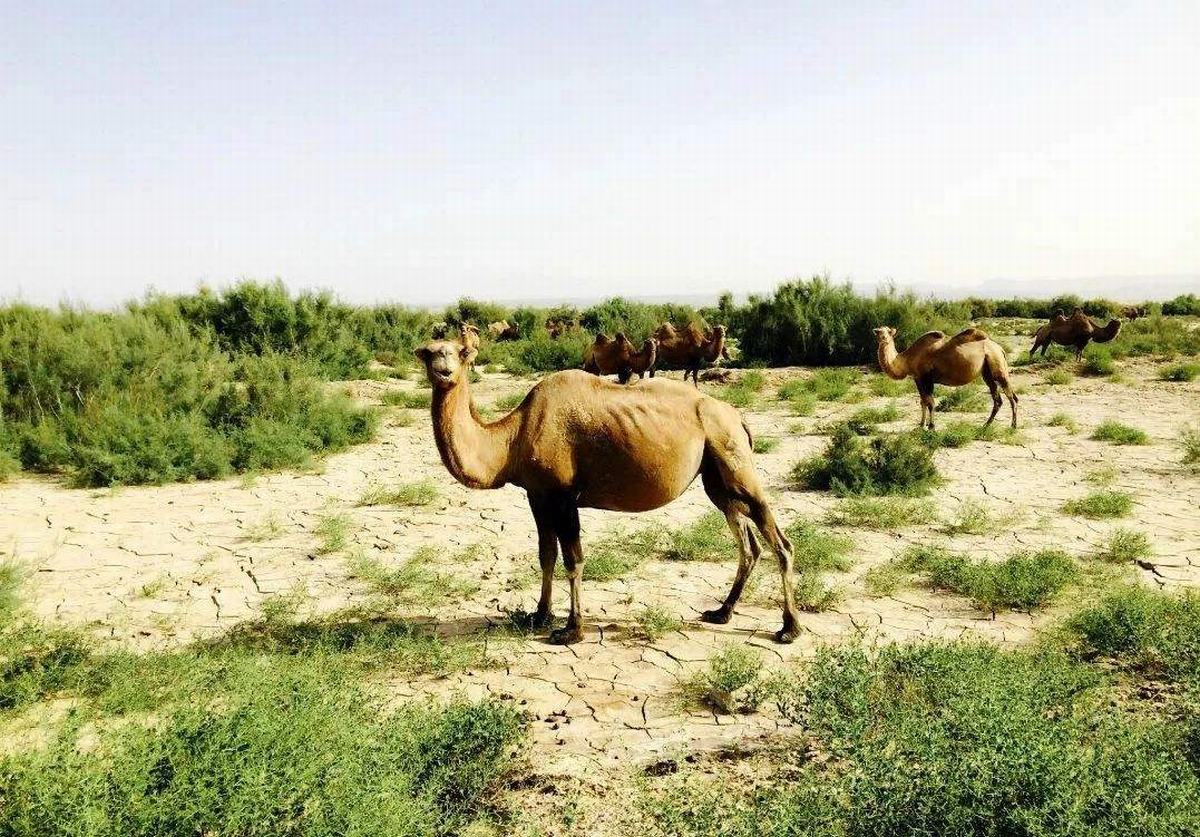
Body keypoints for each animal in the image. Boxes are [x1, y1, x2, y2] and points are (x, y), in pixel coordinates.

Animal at [415, 335, 806, 642]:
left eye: (460, 352)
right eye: (429, 352)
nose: (443, 370)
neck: (513, 437)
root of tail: (736, 416)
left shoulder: (563, 496)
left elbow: (573, 559)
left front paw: (572, 629)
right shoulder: (537, 495)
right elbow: (546, 554)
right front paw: (539, 615)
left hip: (735, 460)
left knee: (780, 542)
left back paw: (789, 628)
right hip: (717, 479)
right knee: (748, 544)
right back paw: (721, 612)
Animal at [878, 323, 1017, 429]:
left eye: (889, 332)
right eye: (878, 332)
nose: (883, 338)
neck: (907, 359)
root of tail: (1000, 349)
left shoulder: (926, 378)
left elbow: (930, 402)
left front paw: (931, 426)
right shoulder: (918, 379)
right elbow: (923, 401)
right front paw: (921, 425)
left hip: (997, 365)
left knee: (1011, 396)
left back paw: (1013, 426)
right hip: (987, 373)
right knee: (998, 399)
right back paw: (986, 425)